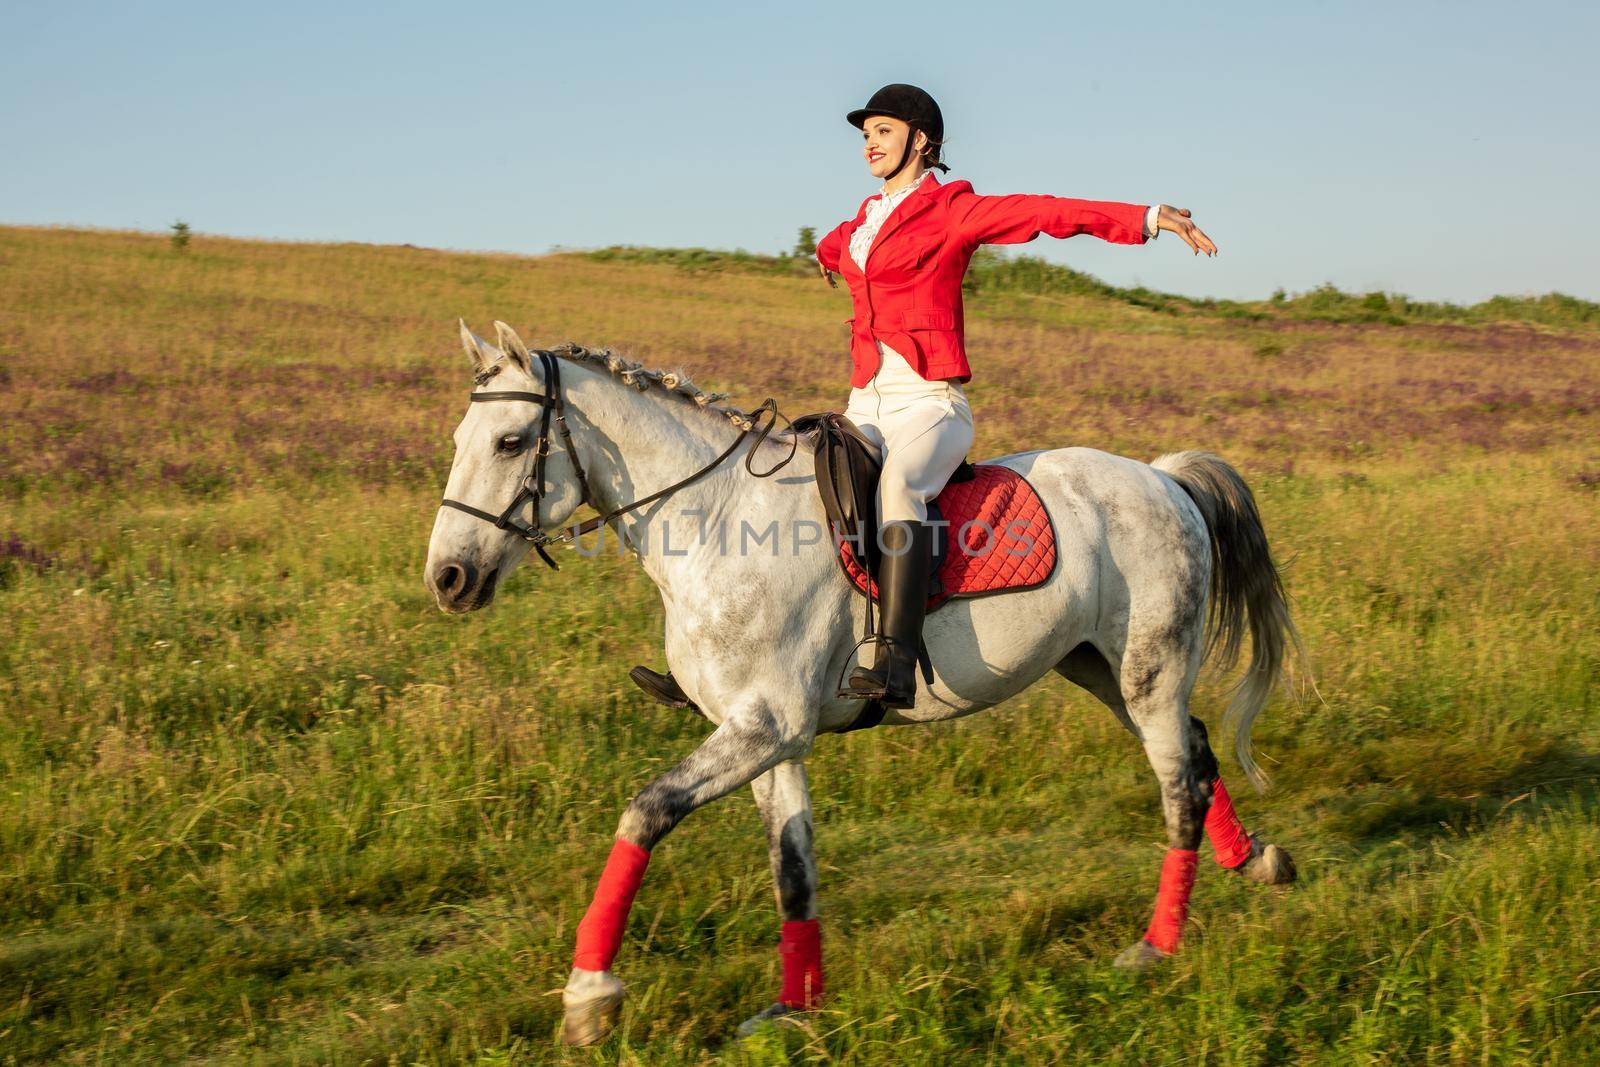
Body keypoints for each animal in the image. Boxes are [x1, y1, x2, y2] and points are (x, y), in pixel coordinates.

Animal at [425, 321, 1299, 1049]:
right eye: (461, 439)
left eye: (510, 441)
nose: (448, 578)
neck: (715, 520)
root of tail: (1164, 478)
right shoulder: (770, 738)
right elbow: (794, 868)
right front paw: (794, 1009)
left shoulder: (764, 726)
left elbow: (646, 812)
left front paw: (589, 996)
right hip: (1104, 672)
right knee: (1194, 752)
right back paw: (1257, 861)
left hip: (1148, 672)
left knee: (1178, 784)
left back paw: (1154, 949)